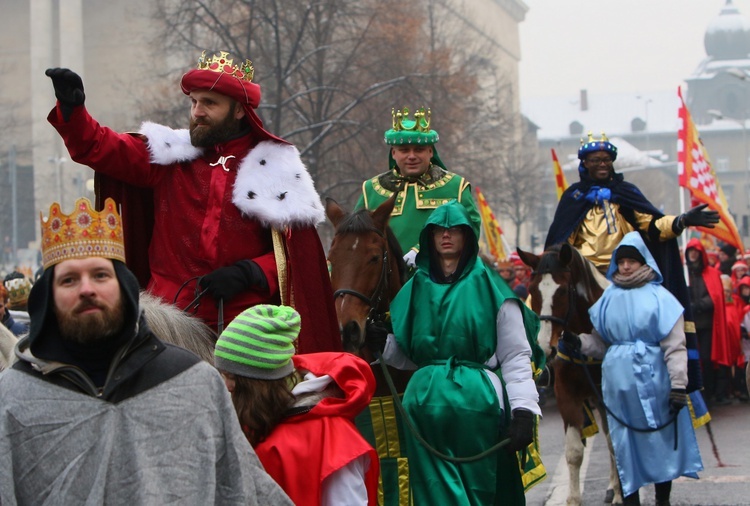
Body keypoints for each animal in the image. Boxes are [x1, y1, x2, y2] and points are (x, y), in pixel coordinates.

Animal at [520, 243, 624, 506]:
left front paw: (621, 494)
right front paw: (574, 499)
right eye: (533, 290)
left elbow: (617, 444)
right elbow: (574, 452)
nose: (545, 347)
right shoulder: (566, 393)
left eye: (563, 291)